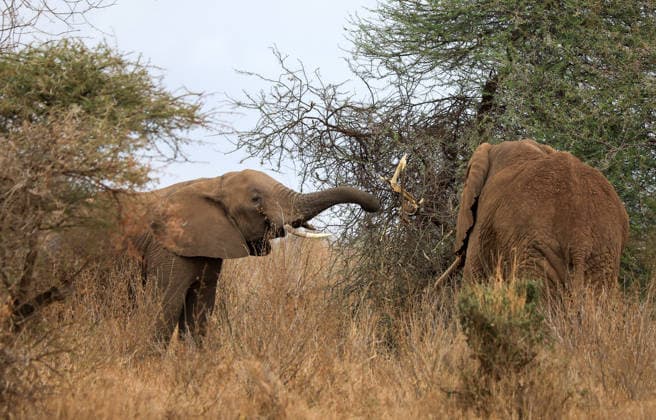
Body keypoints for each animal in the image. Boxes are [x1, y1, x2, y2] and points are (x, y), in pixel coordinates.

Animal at [113, 169, 380, 344]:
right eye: (255, 199)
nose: (373, 206)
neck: (212, 184)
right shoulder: (166, 247)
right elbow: (164, 305)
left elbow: (200, 309)